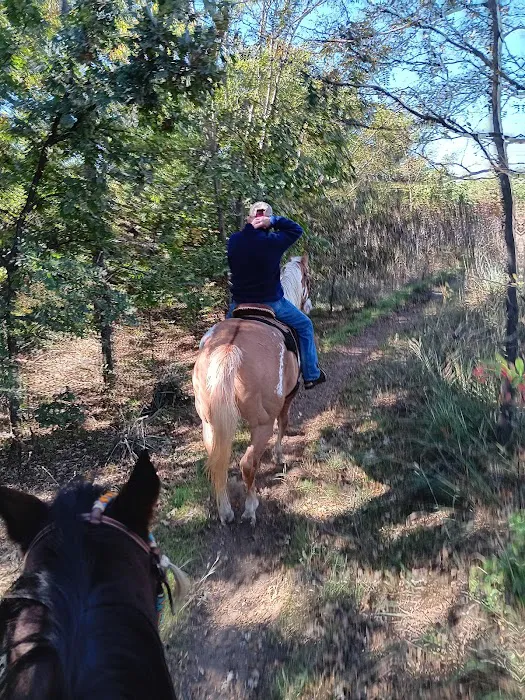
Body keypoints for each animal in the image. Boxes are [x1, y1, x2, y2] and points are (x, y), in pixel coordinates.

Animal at [192, 253, 311, 525]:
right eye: (307, 279)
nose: (309, 305)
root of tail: (229, 348)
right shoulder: (288, 398)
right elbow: (284, 423)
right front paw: (279, 457)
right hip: (261, 423)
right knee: (248, 463)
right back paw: (250, 508)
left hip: (209, 424)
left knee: (218, 462)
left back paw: (225, 511)